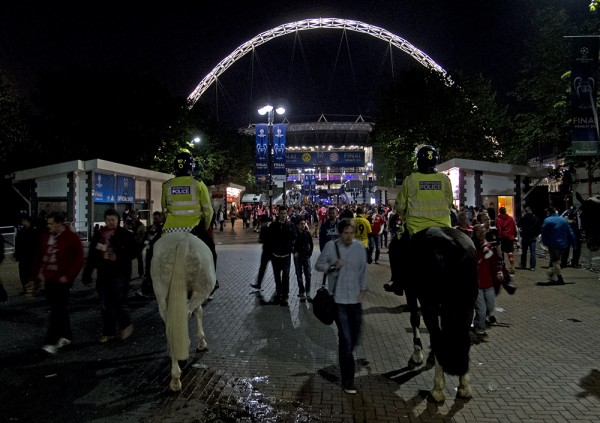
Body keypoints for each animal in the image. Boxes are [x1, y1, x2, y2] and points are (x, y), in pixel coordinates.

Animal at [151, 232, 217, 394]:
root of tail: (182, 243)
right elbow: (199, 312)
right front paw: (202, 342)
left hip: (161, 293)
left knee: (171, 325)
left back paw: (175, 377)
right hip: (202, 289)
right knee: (188, 312)